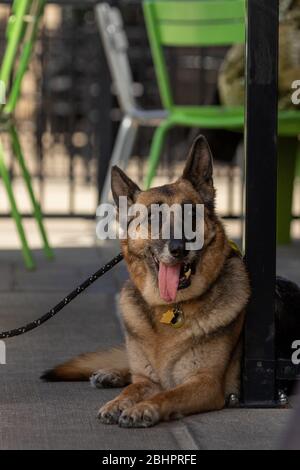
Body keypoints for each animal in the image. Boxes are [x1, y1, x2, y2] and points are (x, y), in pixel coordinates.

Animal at [42, 135, 252, 426]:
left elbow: (169, 394)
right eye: (154, 217)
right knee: (130, 370)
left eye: (191, 215)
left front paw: (144, 408)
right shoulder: (148, 379)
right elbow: (133, 388)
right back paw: (111, 373)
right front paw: (118, 402)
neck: (170, 308)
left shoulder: (206, 384)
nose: (178, 249)